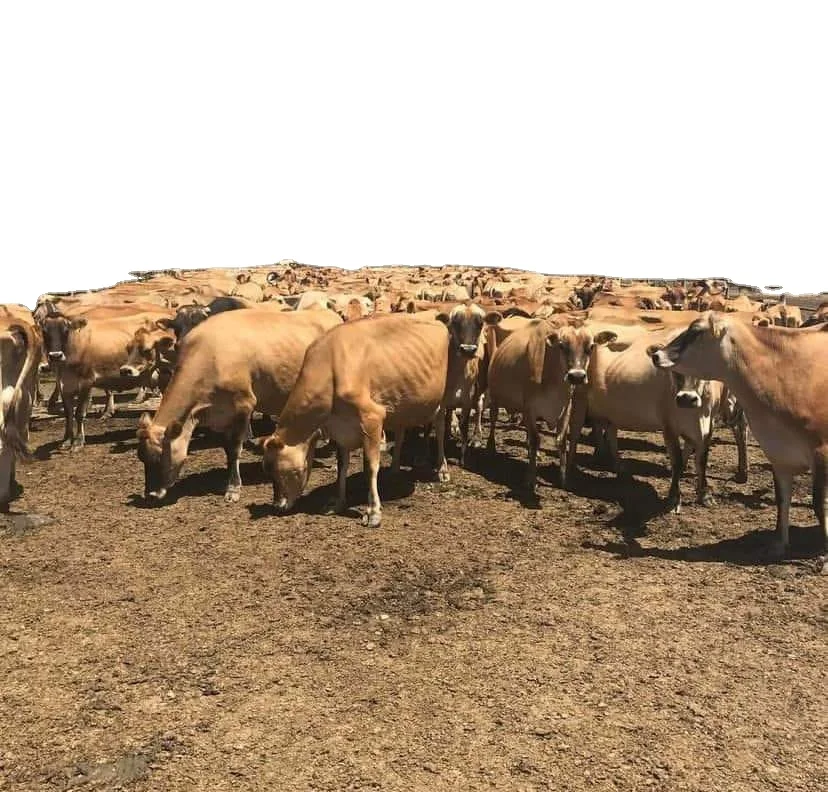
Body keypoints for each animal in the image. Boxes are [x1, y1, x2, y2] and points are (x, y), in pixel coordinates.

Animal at [137, 308, 343, 503]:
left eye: (160, 456)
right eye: (141, 457)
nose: (151, 495)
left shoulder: (243, 406)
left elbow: (234, 449)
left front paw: (233, 488)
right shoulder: (220, 414)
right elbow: (226, 449)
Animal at [262, 313, 451, 527]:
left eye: (276, 469)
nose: (278, 506)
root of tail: (435, 318)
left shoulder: (373, 417)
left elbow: (370, 466)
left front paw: (373, 512)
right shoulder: (340, 429)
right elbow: (341, 466)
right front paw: (337, 502)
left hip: (443, 397)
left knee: (440, 430)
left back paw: (442, 470)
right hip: (402, 403)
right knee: (401, 432)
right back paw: (394, 469)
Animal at [486, 318, 617, 490]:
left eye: (591, 347)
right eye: (562, 346)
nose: (576, 376)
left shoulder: (566, 408)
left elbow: (561, 442)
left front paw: (563, 479)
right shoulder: (529, 408)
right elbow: (535, 440)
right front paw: (530, 479)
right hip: (494, 396)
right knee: (493, 420)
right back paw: (491, 447)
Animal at [650, 312, 828, 556]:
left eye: (696, 331)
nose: (656, 355)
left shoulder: (821, 453)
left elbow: (819, 504)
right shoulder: (779, 456)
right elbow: (782, 501)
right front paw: (779, 545)